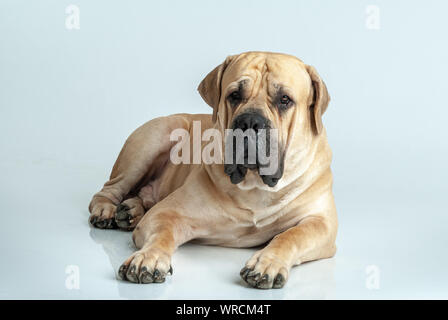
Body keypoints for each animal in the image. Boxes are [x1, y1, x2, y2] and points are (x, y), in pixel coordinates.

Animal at [89, 51, 338, 288]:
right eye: (234, 95)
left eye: (284, 100)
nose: (250, 121)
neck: (254, 186)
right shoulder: (166, 212)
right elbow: (162, 232)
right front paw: (148, 257)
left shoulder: (322, 223)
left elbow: (292, 235)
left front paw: (267, 263)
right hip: (154, 138)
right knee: (108, 190)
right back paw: (106, 211)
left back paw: (130, 210)